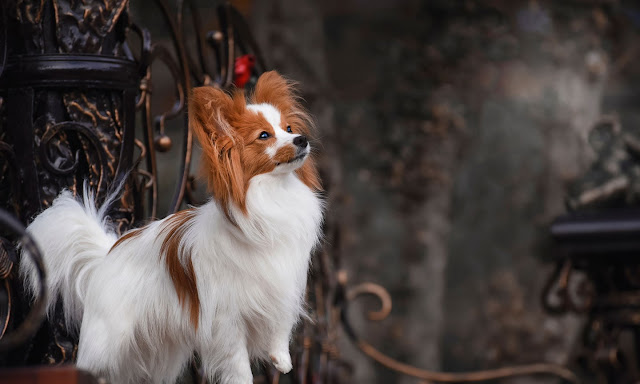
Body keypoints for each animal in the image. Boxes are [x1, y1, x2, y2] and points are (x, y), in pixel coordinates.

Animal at [20, 70, 324, 382]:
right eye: (264, 135)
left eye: (288, 128)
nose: (301, 140)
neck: (273, 195)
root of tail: (108, 253)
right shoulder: (226, 321)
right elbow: (239, 365)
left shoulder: (282, 286)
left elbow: (280, 327)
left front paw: (281, 359)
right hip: (107, 341)